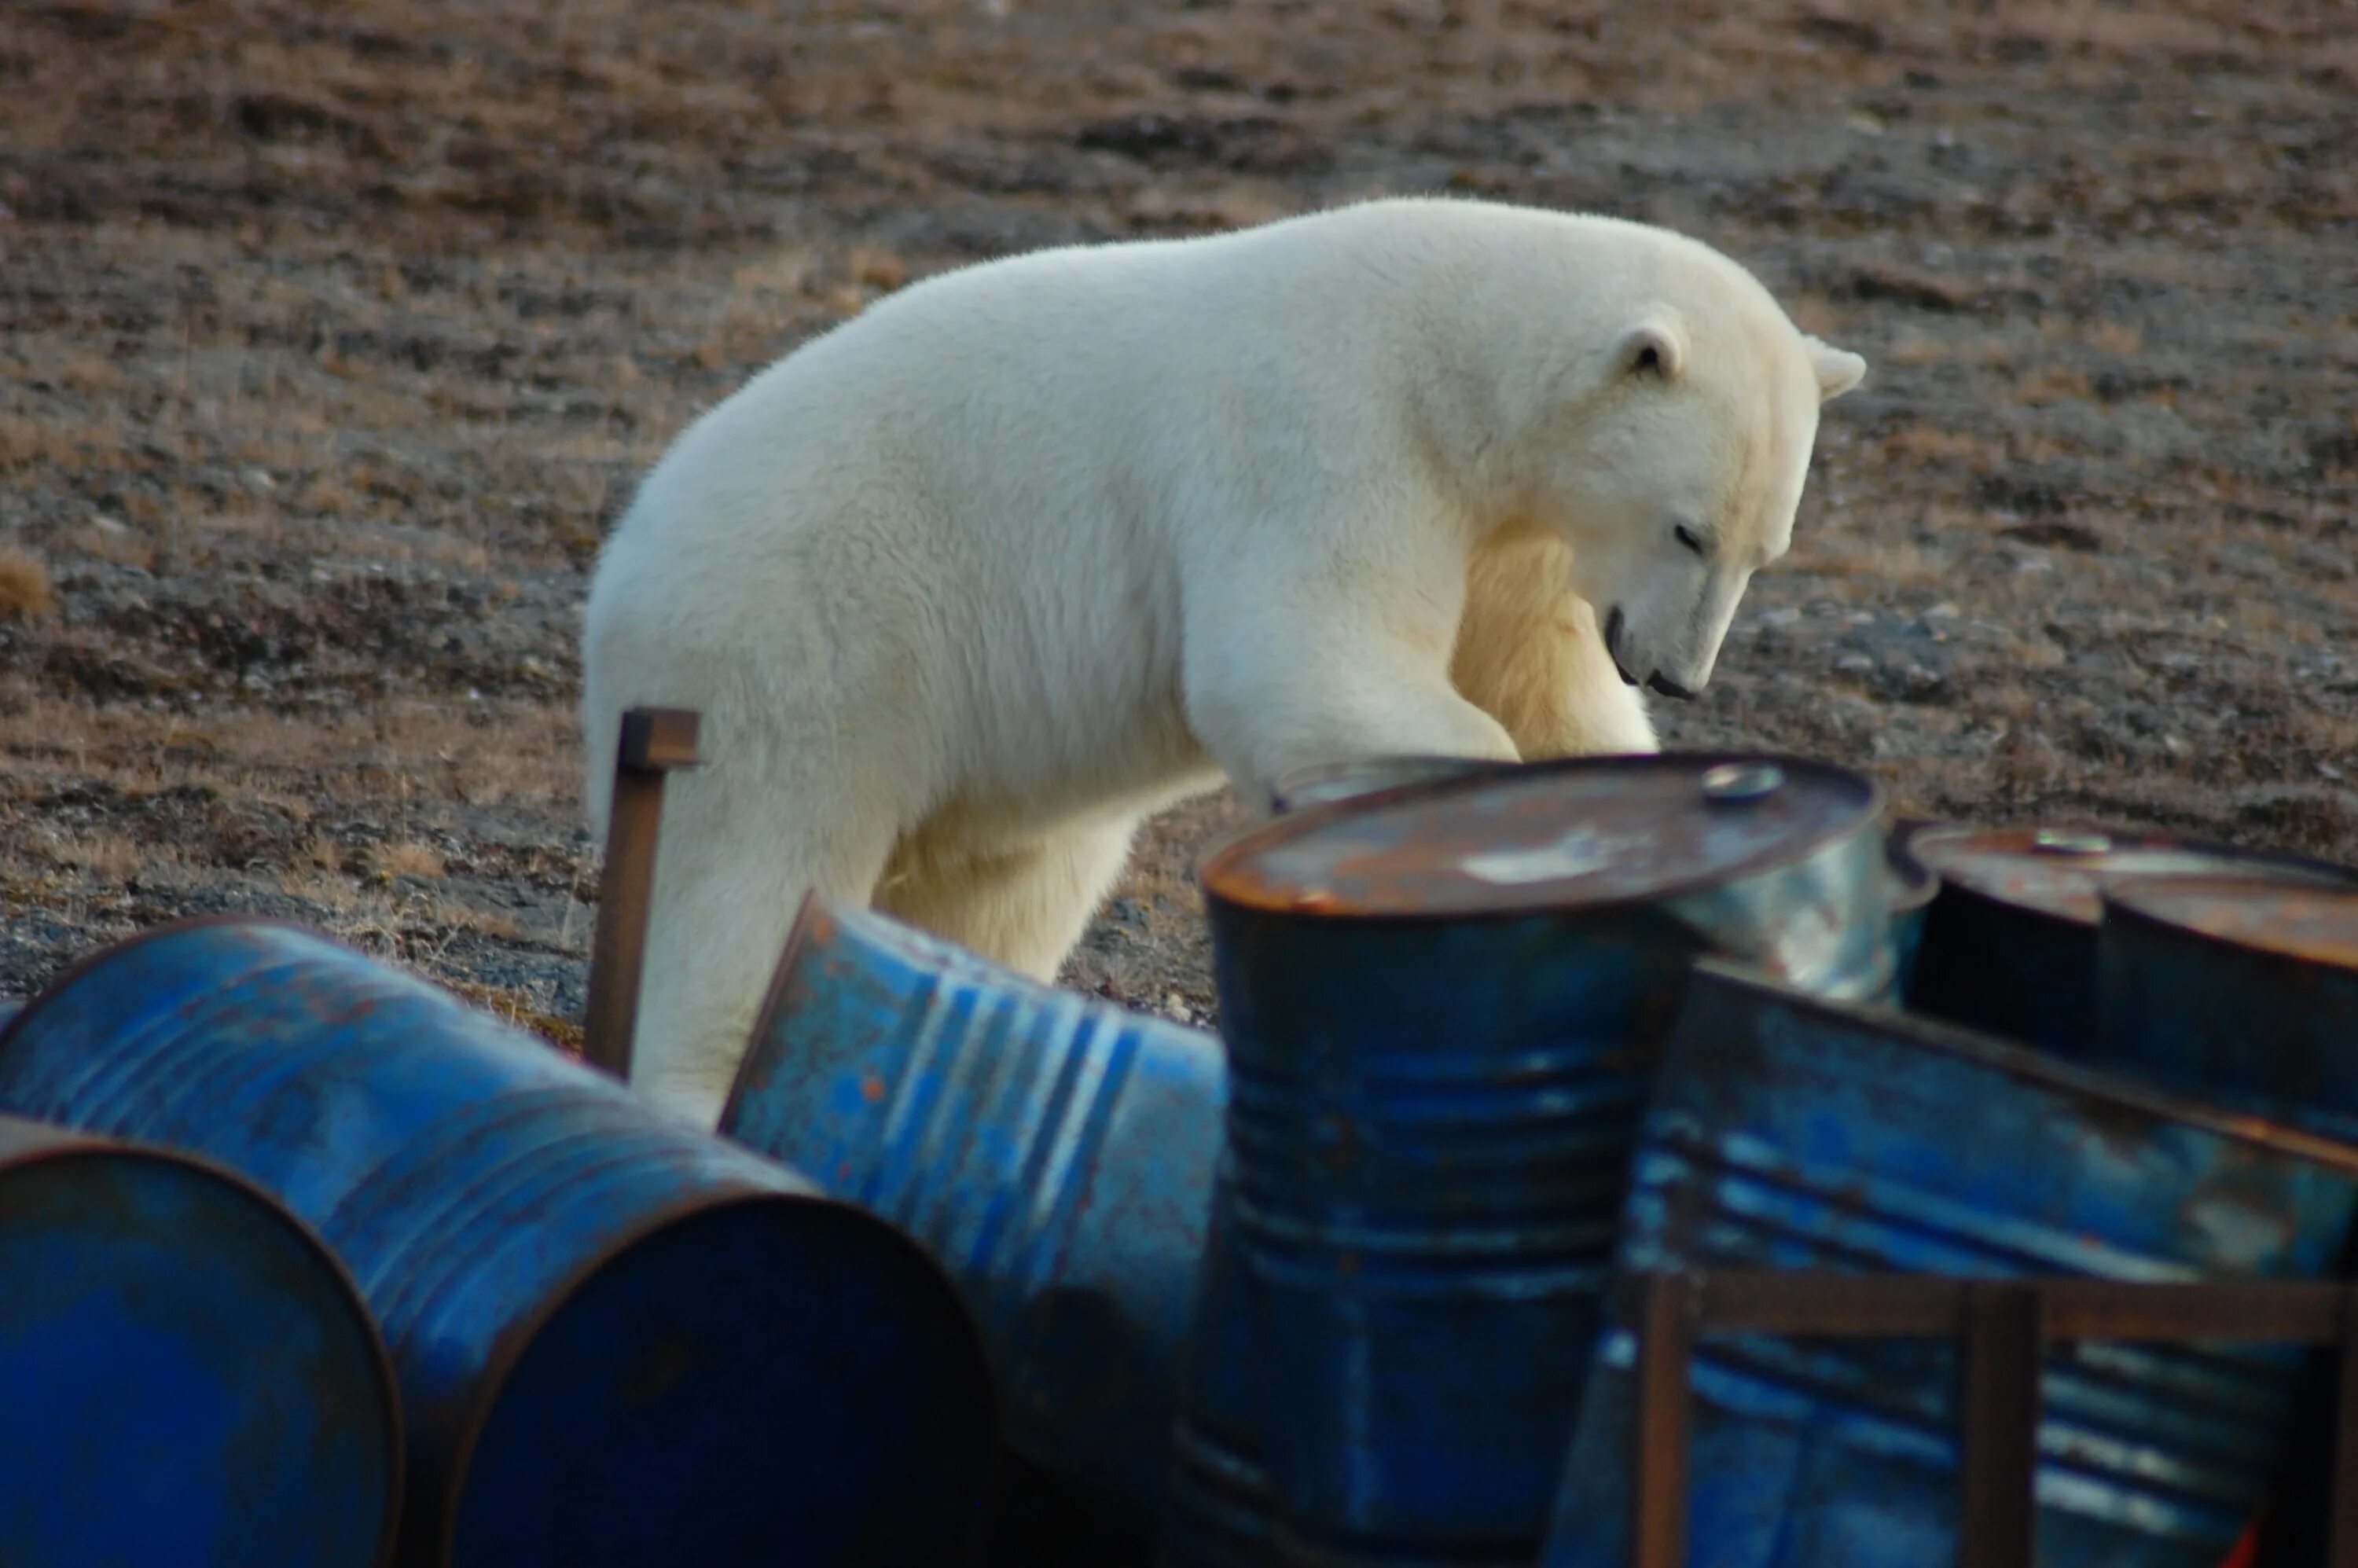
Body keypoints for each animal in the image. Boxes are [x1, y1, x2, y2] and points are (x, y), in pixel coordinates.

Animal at [580, 199, 1868, 1127]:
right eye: (1689, 529)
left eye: (1765, 547)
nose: (1676, 674)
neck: (1456, 361)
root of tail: (624, 564)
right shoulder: (1331, 434)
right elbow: (1300, 652)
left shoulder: (1518, 547)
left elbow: (1536, 684)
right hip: (798, 643)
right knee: (751, 872)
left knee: (1000, 891)